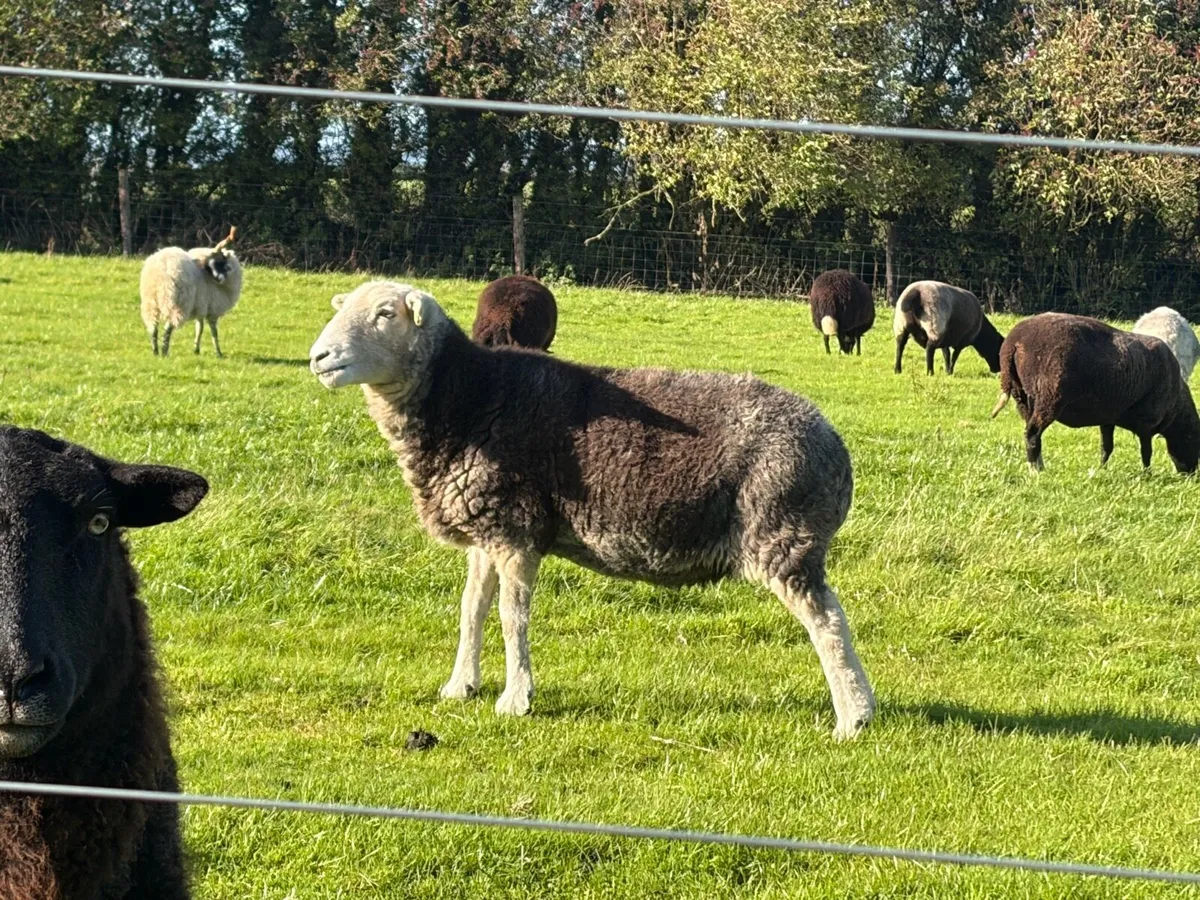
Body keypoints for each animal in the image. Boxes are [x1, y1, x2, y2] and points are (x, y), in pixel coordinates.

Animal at [140, 227, 242, 358]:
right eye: (210, 265)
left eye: (218, 261)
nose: (219, 279)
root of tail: (160, 271)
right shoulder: (212, 310)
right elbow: (213, 332)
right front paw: (218, 353)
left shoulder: (201, 307)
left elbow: (199, 328)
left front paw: (196, 350)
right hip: (178, 303)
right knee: (168, 327)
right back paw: (164, 352)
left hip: (150, 302)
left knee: (153, 327)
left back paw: (155, 352)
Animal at [308, 281, 875, 740]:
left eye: (385, 313)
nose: (319, 357)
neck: (466, 397)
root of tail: (835, 446)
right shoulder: (487, 527)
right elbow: (472, 610)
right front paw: (459, 686)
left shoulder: (517, 529)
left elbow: (512, 617)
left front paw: (515, 699)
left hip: (782, 532)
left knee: (828, 622)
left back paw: (853, 716)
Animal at [990, 312, 1200, 473]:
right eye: (1192, 439)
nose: (1190, 473)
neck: (1176, 406)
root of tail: (1013, 343)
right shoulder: (1147, 422)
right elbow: (1146, 453)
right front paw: (1147, 474)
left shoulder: (1108, 419)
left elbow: (1106, 447)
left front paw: (1102, 469)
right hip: (1050, 397)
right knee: (1033, 433)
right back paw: (1035, 470)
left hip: (1023, 397)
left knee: (1030, 432)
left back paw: (1039, 466)